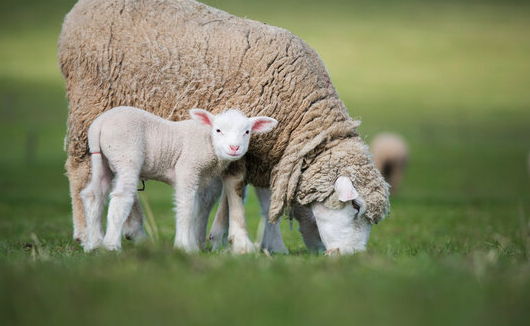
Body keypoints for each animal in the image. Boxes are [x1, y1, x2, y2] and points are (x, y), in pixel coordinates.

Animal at [80, 105, 276, 251]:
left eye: (247, 132)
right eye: (218, 130)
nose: (234, 148)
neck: (208, 141)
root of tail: (99, 124)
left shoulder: (197, 179)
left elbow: (195, 209)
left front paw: (192, 247)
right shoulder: (187, 170)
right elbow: (185, 208)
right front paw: (183, 247)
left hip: (104, 160)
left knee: (93, 195)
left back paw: (93, 245)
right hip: (126, 155)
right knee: (121, 198)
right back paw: (111, 246)